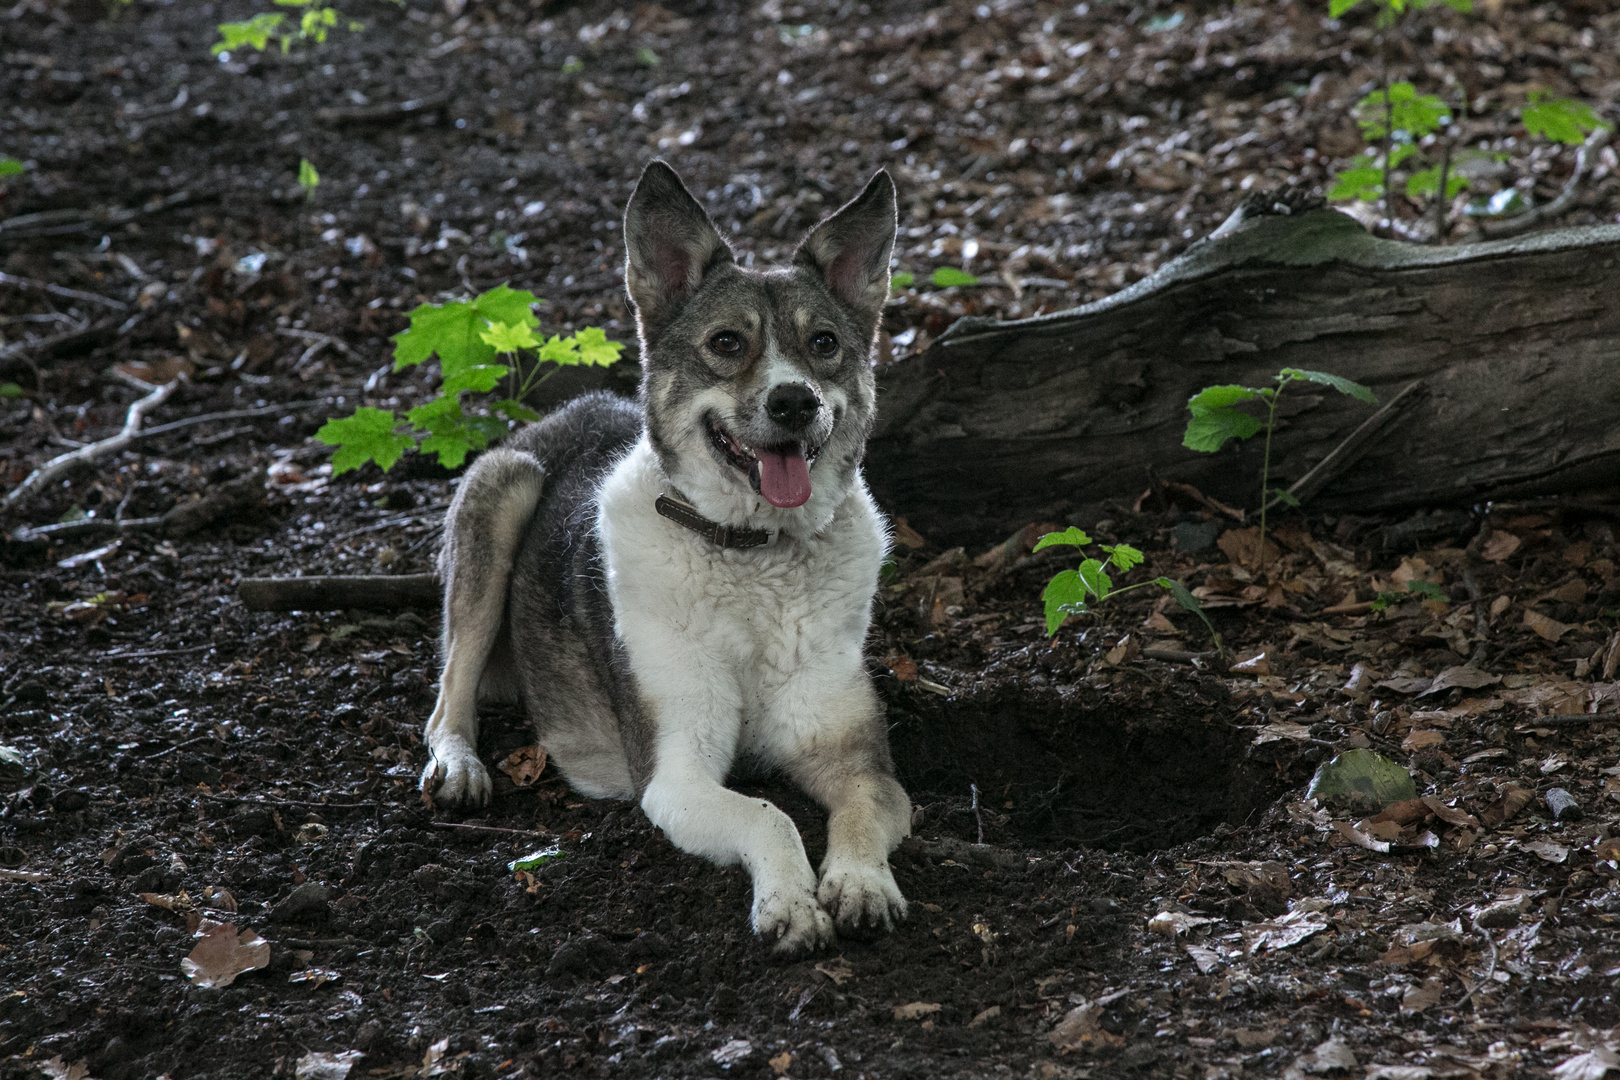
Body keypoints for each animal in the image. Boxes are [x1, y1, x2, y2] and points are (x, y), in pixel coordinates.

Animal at [417, 160, 913, 952]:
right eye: (728, 343)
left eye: (825, 342)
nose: (795, 402)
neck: (754, 557)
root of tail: (582, 404)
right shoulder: (674, 775)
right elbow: (769, 815)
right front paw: (789, 901)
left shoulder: (856, 756)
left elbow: (863, 808)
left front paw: (861, 883)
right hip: (504, 488)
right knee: (444, 703)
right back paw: (460, 765)